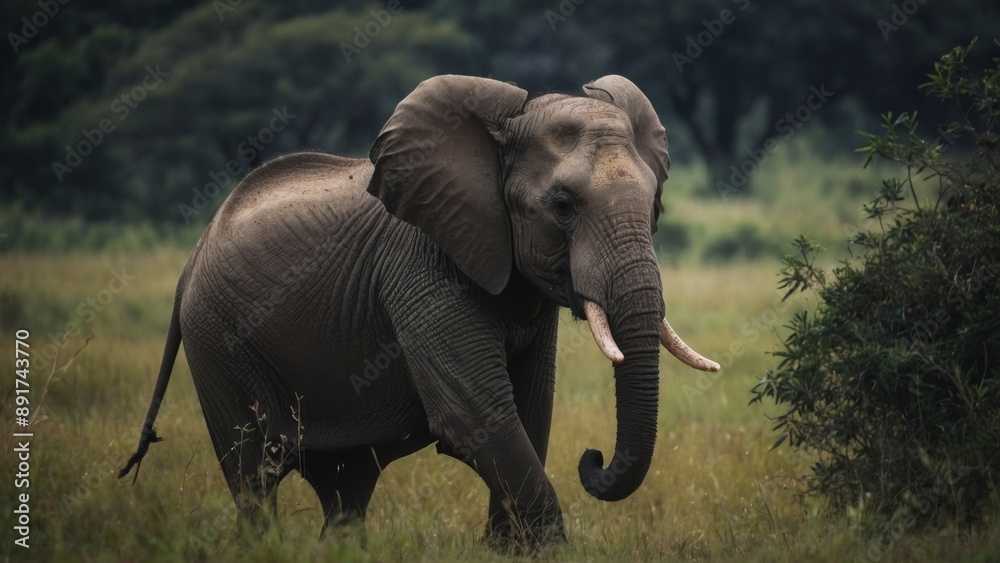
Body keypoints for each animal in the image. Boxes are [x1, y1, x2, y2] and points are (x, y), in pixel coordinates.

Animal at [118, 74, 720, 552]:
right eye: (563, 207)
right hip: (218, 339)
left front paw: (507, 551)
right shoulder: (420, 267)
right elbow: (477, 415)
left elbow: (531, 408)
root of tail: (193, 255)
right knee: (254, 473)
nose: (593, 459)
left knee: (345, 486)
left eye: (655, 205)